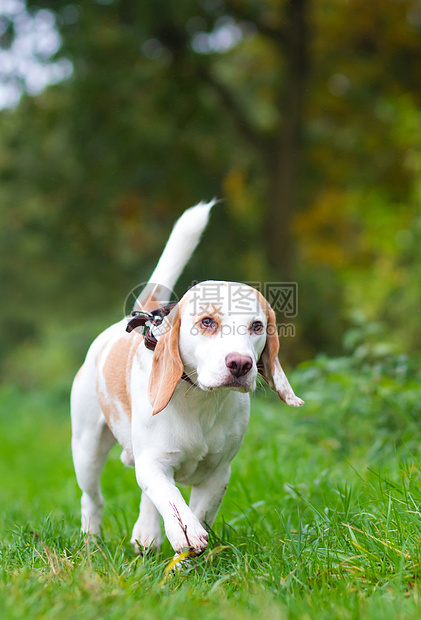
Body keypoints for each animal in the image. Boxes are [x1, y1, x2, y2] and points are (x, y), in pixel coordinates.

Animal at [71, 201, 302, 556]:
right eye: (207, 322)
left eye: (257, 326)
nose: (241, 364)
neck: (200, 402)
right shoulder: (153, 463)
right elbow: (171, 499)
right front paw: (185, 531)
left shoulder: (218, 473)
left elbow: (199, 510)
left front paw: (188, 544)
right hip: (87, 451)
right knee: (92, 500)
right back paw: (92, 541)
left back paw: (146, 534)